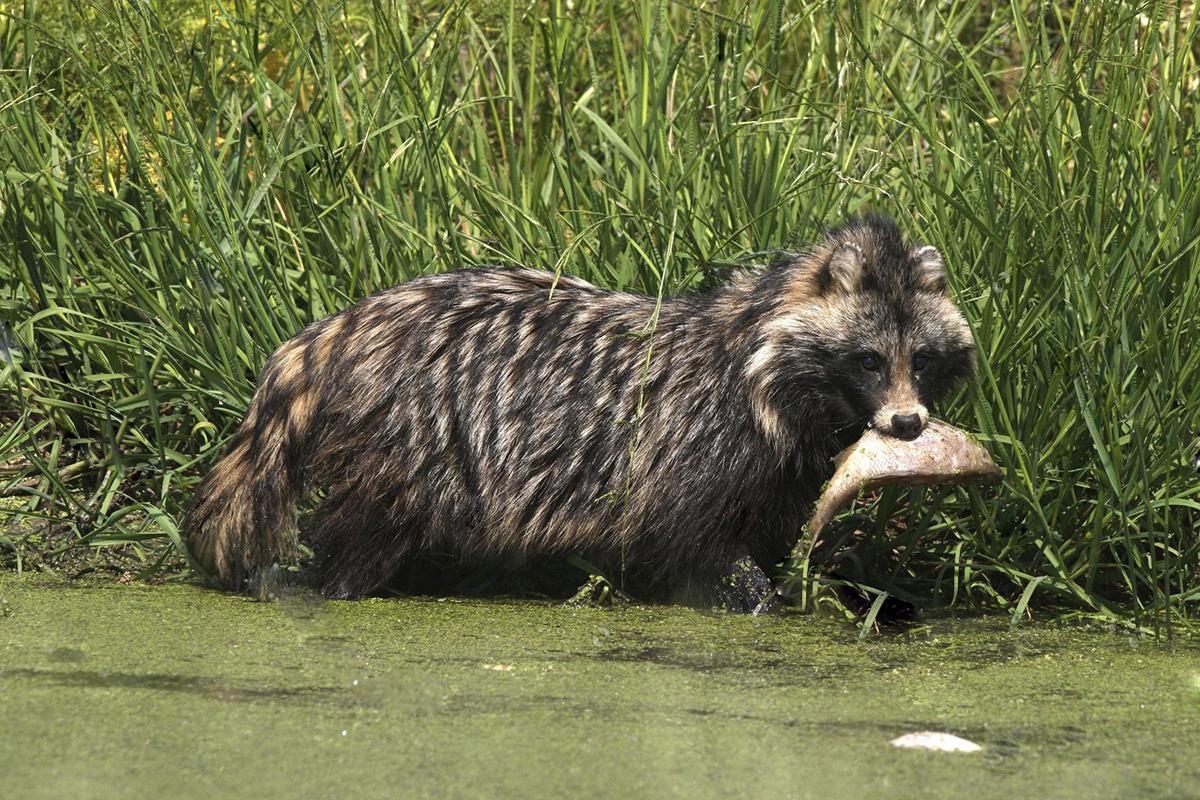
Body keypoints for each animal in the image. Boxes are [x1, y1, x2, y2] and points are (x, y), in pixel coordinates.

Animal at [184, 215, 974, 609]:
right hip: (410, 434)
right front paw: (758, 598)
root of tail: (333, 332)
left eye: (922, 360)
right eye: (867, 360)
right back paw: (340, 584)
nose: (907, 424)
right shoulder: (694, 442)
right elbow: (697, 541)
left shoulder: (778, 468)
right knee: (366, 532)